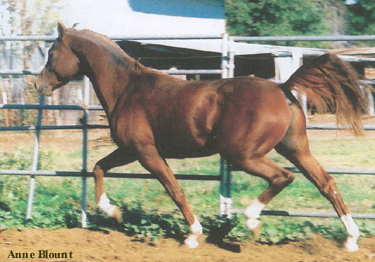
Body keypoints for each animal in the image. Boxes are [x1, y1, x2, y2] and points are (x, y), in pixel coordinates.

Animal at [36, 23, 370, 252]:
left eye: (52, 53)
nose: (39, 85)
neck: (128, 88)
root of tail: (282, 87)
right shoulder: (130, 151)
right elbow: (98, 168)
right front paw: (112, 212)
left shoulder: (146, 153)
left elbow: (174, 189)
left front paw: (193, 236)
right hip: (295, 149)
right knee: (325, 182)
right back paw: (350, 240)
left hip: (243, 155)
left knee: (282, 177)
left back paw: (250, 221)